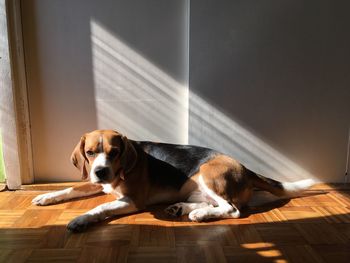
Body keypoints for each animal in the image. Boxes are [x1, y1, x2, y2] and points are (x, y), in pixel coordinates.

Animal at [32, 130, 314, 233]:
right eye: (90, 153)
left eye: (115, 152)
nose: (101, 171)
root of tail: (245, 167)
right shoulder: (98, 183)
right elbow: (71, 189)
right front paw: (46, 196)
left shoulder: (132, 201)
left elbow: (100, 207)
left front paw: (80, 220)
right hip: (193, 187)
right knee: (214, 204)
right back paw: (184, 209)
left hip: (207, 172)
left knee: (232, 209)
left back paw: (198, 215)